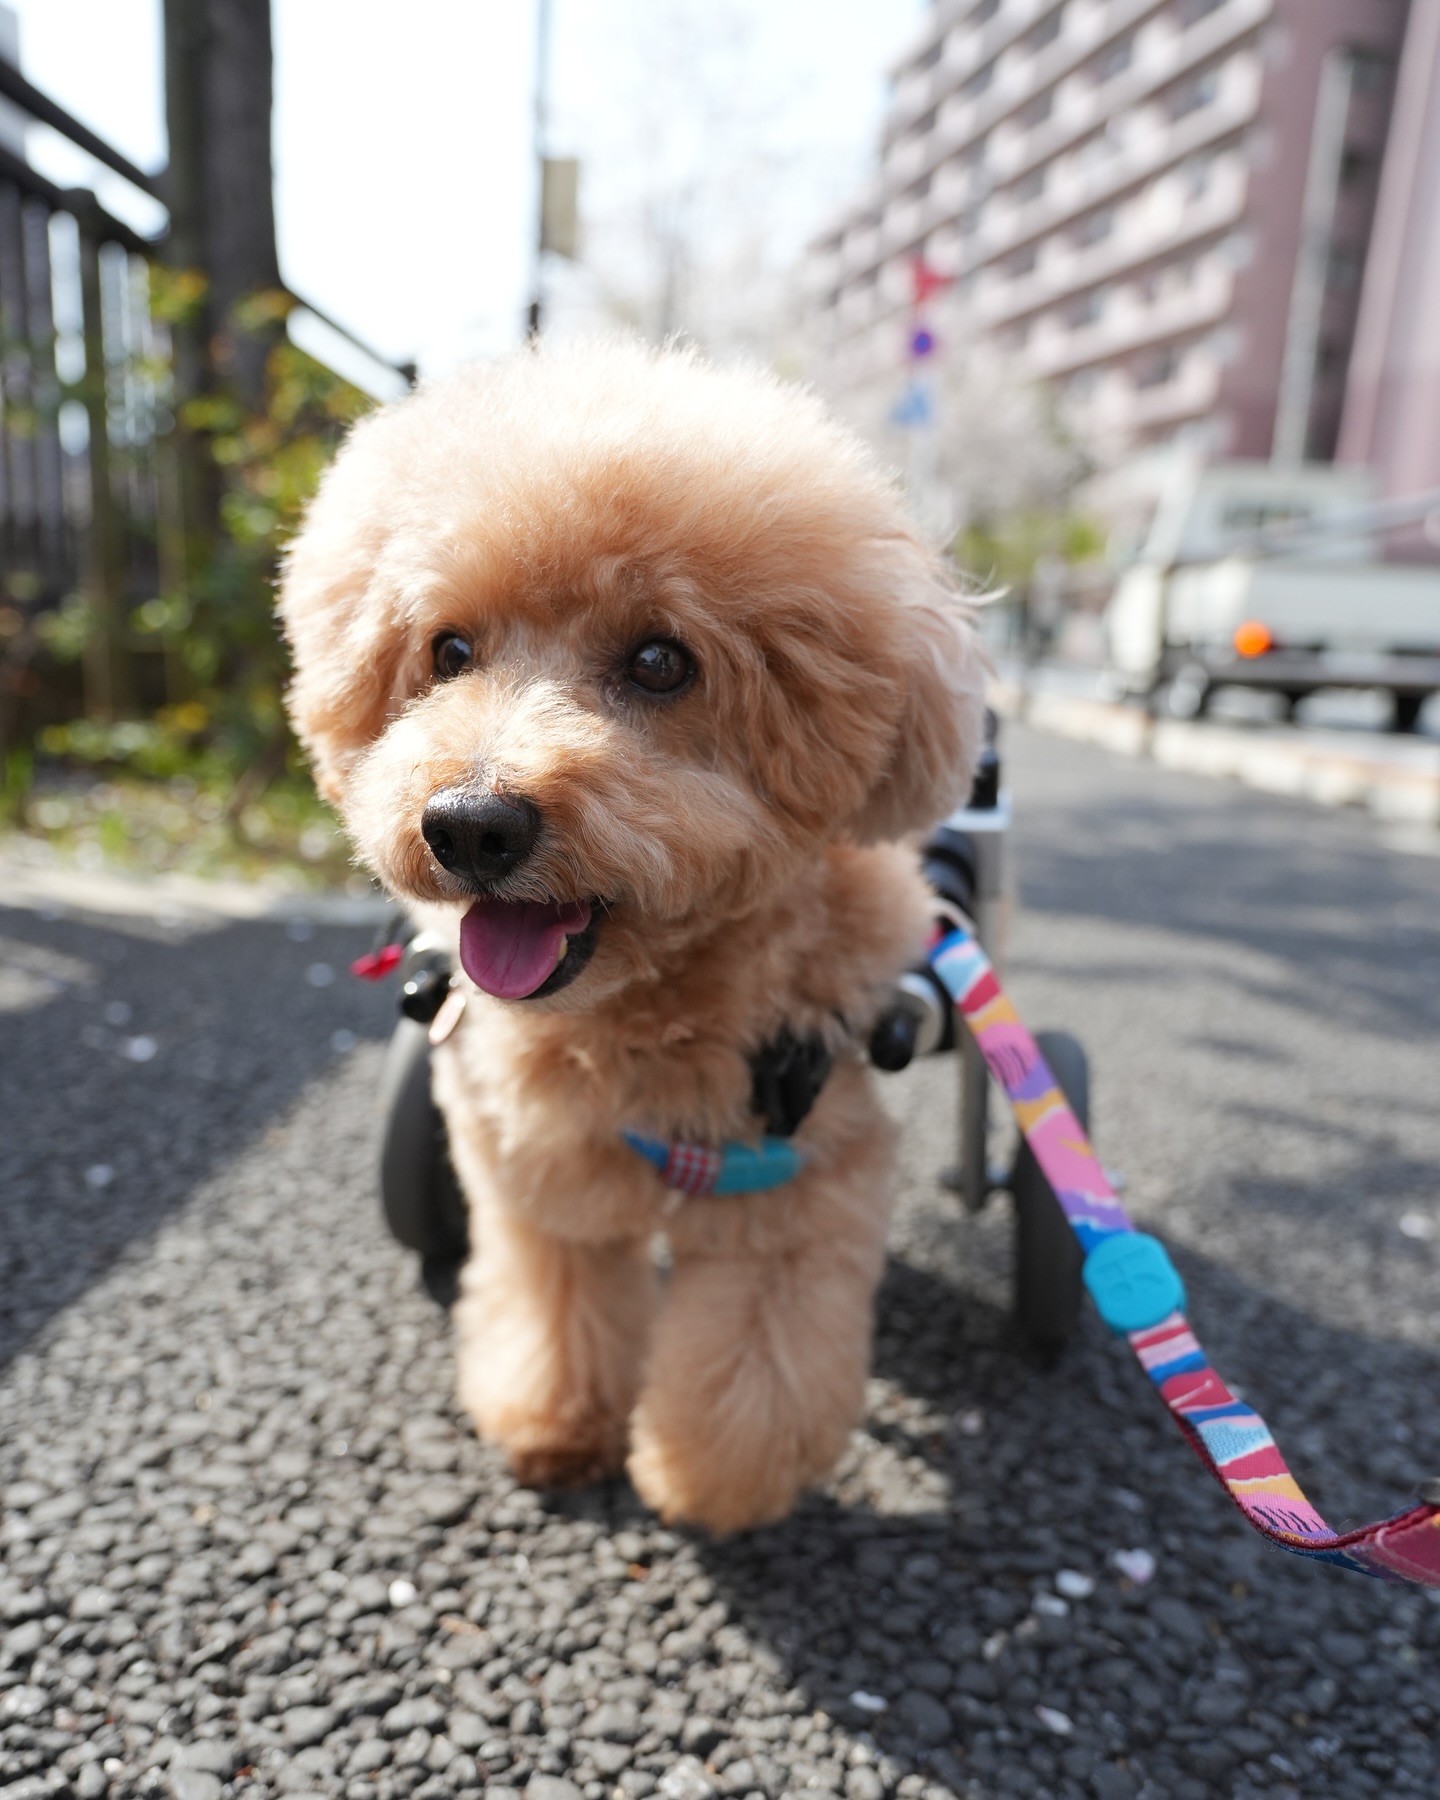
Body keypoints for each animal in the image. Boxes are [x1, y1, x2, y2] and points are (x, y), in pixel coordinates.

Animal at [279, 339, 986, 1532]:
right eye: (449, 649)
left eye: (662, 662)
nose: (469, 824)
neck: (640, 1023)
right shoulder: (537, 1169)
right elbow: (556, 1306)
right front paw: (557, 1425)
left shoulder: (798, 1179)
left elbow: (756, 1378)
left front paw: (706, 1481)